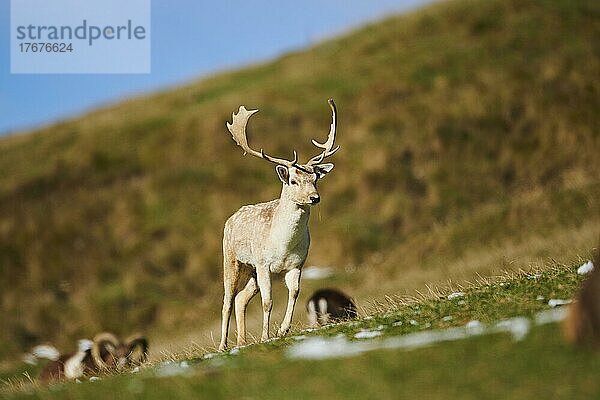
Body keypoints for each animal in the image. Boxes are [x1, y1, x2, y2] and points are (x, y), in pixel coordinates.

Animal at [218, 98, 340, 348]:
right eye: (293, 181)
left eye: (315, 178)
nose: (315, 198)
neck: (283, 245)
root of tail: (231, 218)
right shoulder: (264, 264)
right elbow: (268, 302)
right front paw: (266, 336)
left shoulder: (297, 264)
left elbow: (294, 293)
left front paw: (283, 330)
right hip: (232, 259)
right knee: (227, 300)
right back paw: (223, 345)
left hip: (252, 270)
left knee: (241, 298)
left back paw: (241, 342)